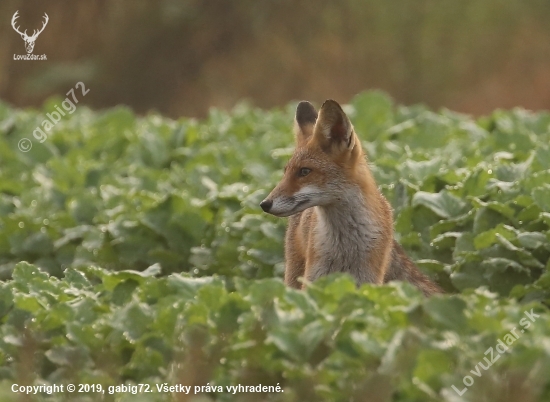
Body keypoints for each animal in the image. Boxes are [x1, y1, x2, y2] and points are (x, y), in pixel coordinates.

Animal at [260, 99, 446, 296]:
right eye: (285, 172)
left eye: (304, 171)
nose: (264, 204)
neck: (346, 247)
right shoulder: (316, 280)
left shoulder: (367, 281)